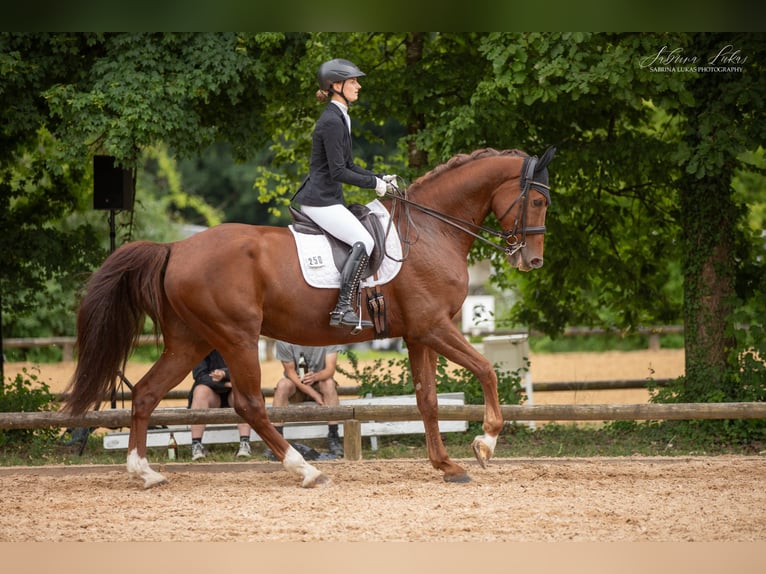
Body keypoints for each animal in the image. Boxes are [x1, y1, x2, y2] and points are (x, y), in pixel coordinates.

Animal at [63, 146, 556, 489]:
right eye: (537, 201)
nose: (531, 261)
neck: (432, 231)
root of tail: (176, 248)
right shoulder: (435, 326)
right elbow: (486, 369)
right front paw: (485, 443)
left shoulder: (419, 335)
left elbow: (428, 400)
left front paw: (447, 465)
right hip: (236, 336)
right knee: (249, 404)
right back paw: (306, 471)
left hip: (191, 340)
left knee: (146, 393)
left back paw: (144, 473)